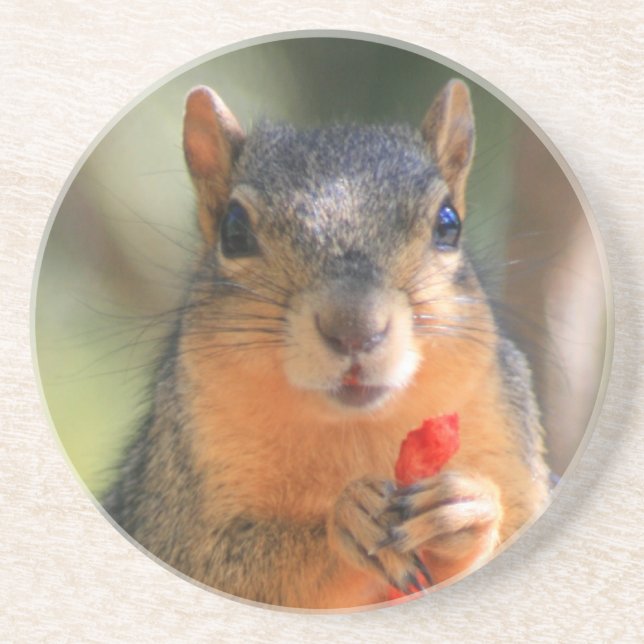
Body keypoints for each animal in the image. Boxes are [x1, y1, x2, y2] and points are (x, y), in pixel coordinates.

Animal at [102, 79, 551, 609]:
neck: (356, 431)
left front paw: (468, 506)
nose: (354, 327)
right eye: (234, 231)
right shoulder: (174, 502)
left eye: (448, 224)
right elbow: (225, 566)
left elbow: (520, 514)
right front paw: (347, 520)